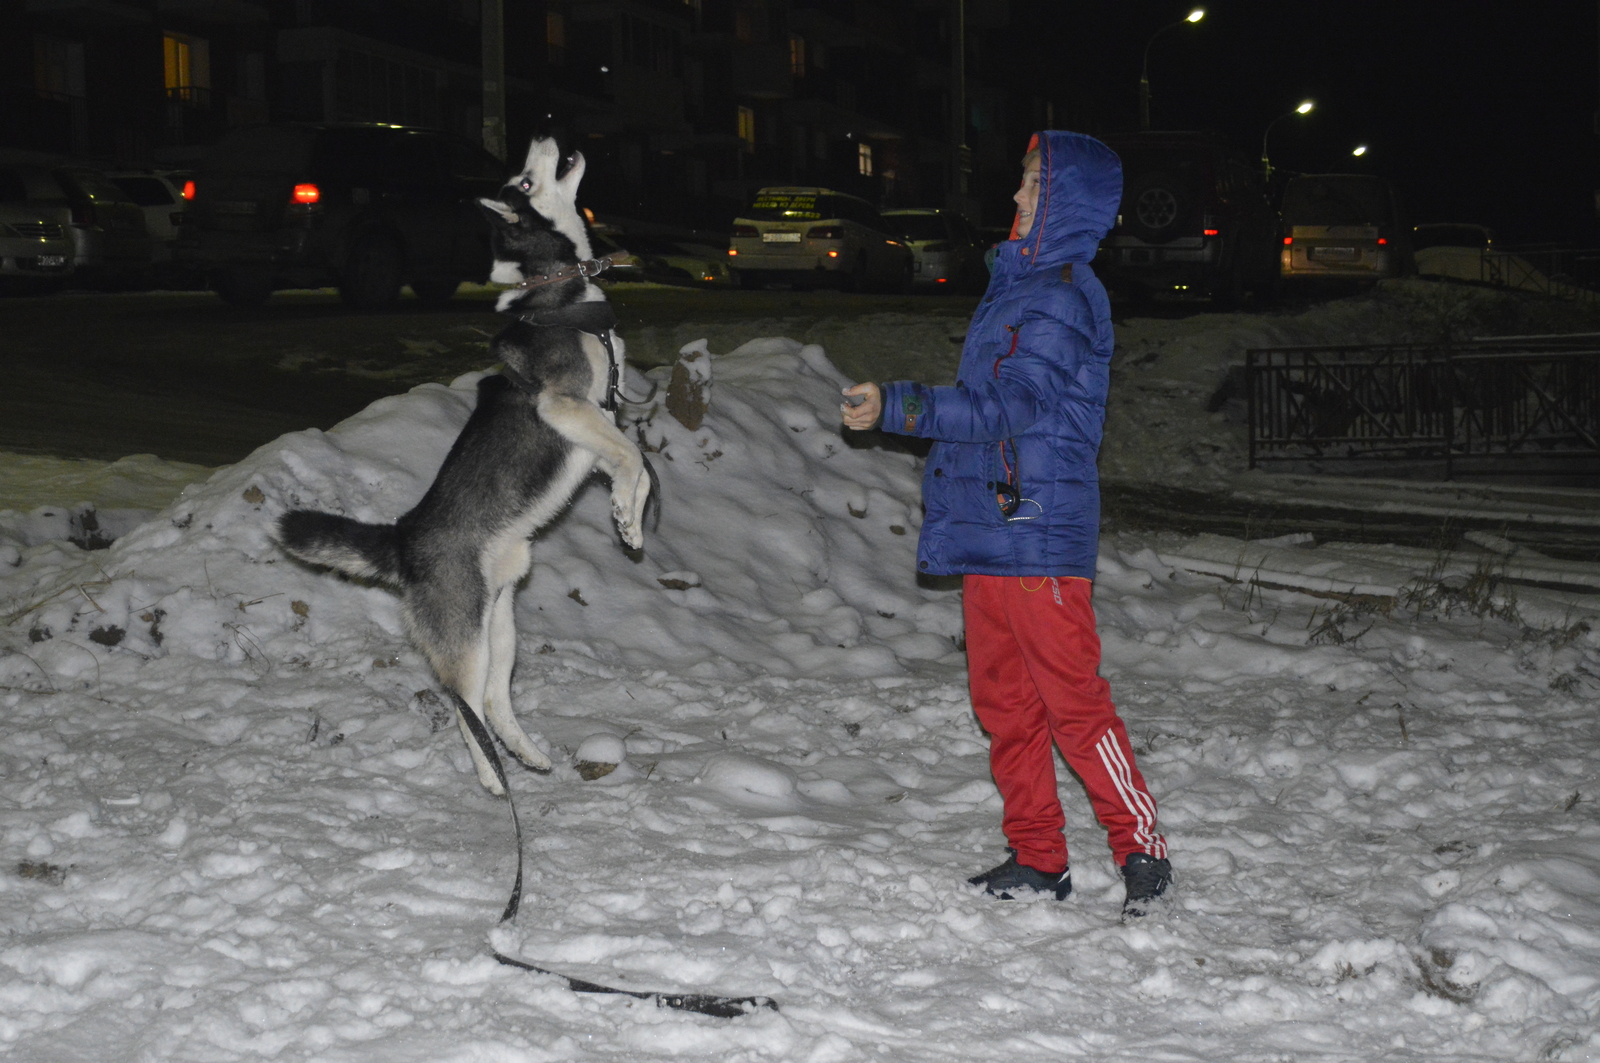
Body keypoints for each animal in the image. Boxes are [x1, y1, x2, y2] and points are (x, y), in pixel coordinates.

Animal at [280, 139, 649, 787]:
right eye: (524, 181)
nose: (543, 139)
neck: (561, 291)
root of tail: (403, 539)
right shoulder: (565, 406)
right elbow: (635, 458)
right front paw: (629, 520)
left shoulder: (599, 423)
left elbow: (633, 465)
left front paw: (628, 516)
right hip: (467, 639)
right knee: (465, 705)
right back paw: (491, 779)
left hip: (499, 625)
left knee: (495, 702)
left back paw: (525, 755)